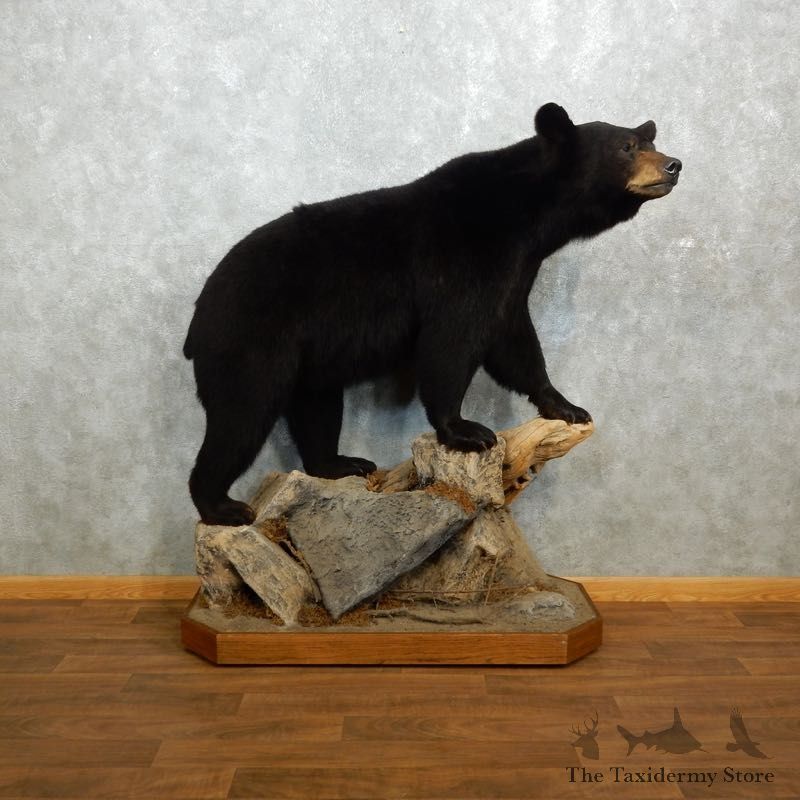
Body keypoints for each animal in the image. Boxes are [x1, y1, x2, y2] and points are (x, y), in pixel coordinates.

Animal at [183, 103, 682, 525]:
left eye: (648, 139)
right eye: (627, 146)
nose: (674, 165)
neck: (526, 214)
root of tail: (201, 309)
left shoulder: (514, 272)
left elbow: (513, 340)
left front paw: (565, 405)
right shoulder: (464, 259)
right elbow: (453, 342)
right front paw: (466, 430)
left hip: (311, 356)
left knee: (316, 405)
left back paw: (340, 463)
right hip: (252, 339)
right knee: (242, 415)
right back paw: (222, 506)